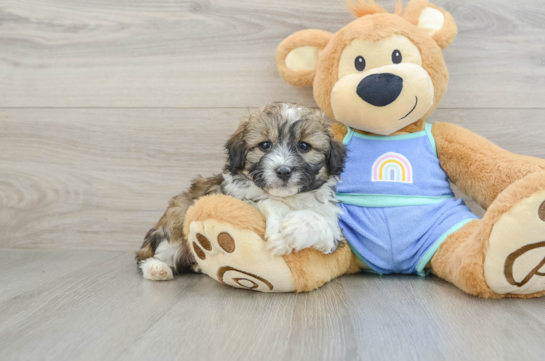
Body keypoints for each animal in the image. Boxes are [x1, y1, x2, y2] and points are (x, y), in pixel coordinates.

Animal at [138, 102, 346, 280]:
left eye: (304, 146)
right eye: (265, 145)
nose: (283, 170)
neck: (288, 198)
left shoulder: (333, 231)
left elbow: (319, 222)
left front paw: (292, 227)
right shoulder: (238, 198)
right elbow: (266, 203)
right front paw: (279, 227)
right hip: (178, 215)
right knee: (155, 252)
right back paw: (156, 268)